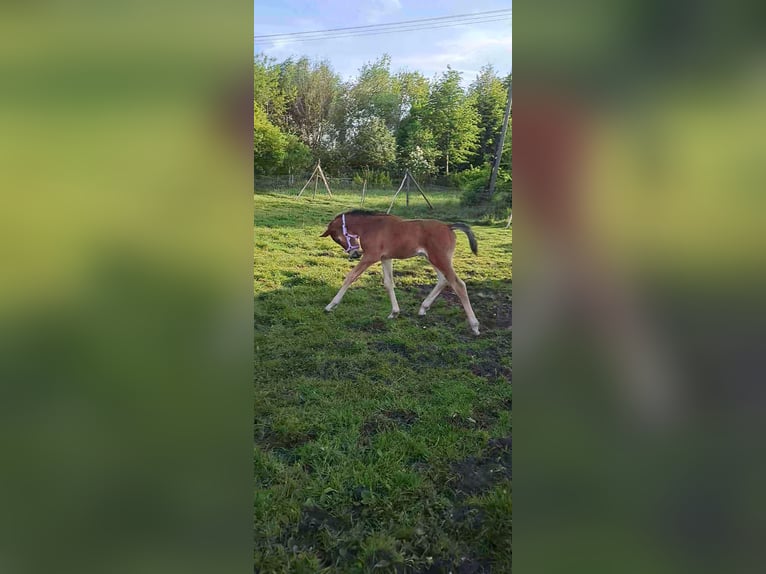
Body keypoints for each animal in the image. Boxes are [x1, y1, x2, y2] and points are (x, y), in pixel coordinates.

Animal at [320, 212, 480, 338]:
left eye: (338, 238)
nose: (354, 254)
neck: (370, 226)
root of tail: (448, 226)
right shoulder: (385, 258)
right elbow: (388, 283)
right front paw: (394, 313)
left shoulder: (371, 256)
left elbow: (351, 276)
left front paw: (331, 305)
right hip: (433, 258)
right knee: (443, 280)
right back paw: (423, 308)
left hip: (440, 259)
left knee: (458, 284)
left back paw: (474, 325)